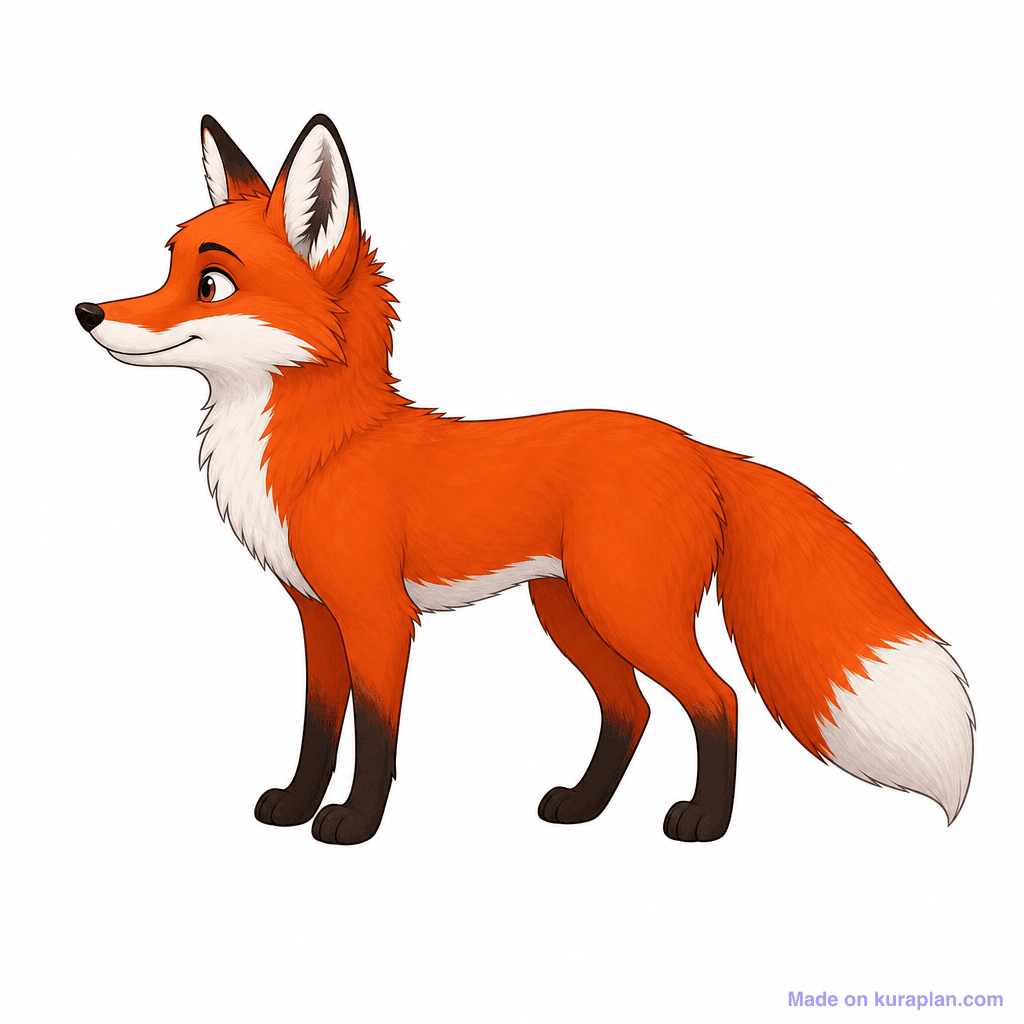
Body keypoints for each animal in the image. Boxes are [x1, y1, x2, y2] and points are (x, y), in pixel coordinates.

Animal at [76, 114, 974, 845]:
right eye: (166, 268)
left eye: (211, 283)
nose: (86, 311)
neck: (326, 449)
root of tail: (697, 447)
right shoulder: (317, 615)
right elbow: (318, 728)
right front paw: (296, 806)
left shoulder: (378, 619)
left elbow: (374, 735)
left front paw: (353, 824)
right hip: (571, 612)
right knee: (632, 709)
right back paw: (582, 807)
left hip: (626, 610)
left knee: (716, 701)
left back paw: (703, 824)